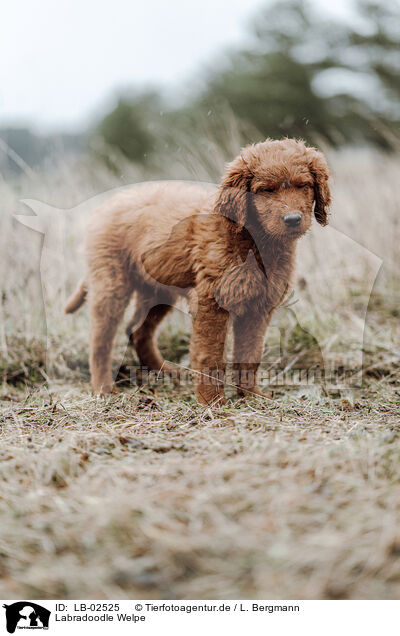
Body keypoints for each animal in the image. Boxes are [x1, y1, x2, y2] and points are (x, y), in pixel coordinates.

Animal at [66, 140, 332, 408]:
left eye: (304, 185)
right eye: (265, 190)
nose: (293, 219)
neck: (249, 238)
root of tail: (107, 204)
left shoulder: (258, 307)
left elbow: (250, 353)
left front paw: (252, 396)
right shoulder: (210, 302)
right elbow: (209, 355)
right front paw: (212, 401)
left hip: (158, 290)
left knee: (137, 330)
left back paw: (164, 371)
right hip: (111, 283)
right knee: (100, 340)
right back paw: (103, 388)